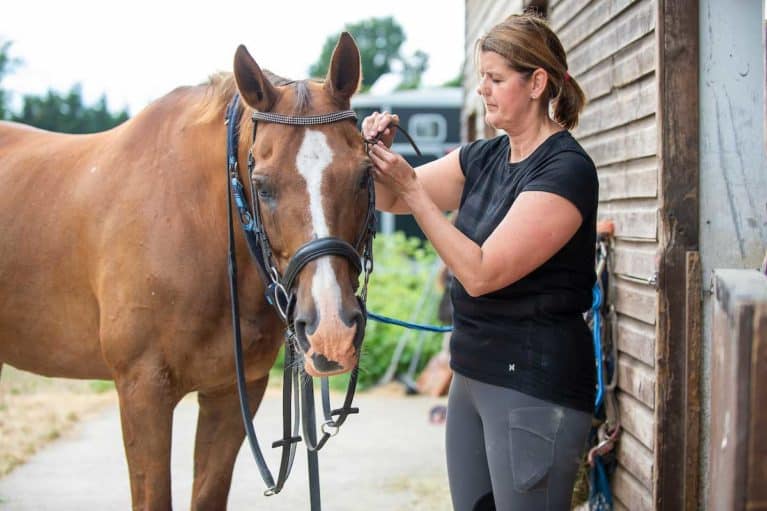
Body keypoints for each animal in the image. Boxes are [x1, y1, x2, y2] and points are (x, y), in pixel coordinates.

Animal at [0, 33, 372, 511]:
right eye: (262, 186)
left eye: (364, 176)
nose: (331, 331)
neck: (193, 226)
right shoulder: (142, 392)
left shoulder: (232, 394)